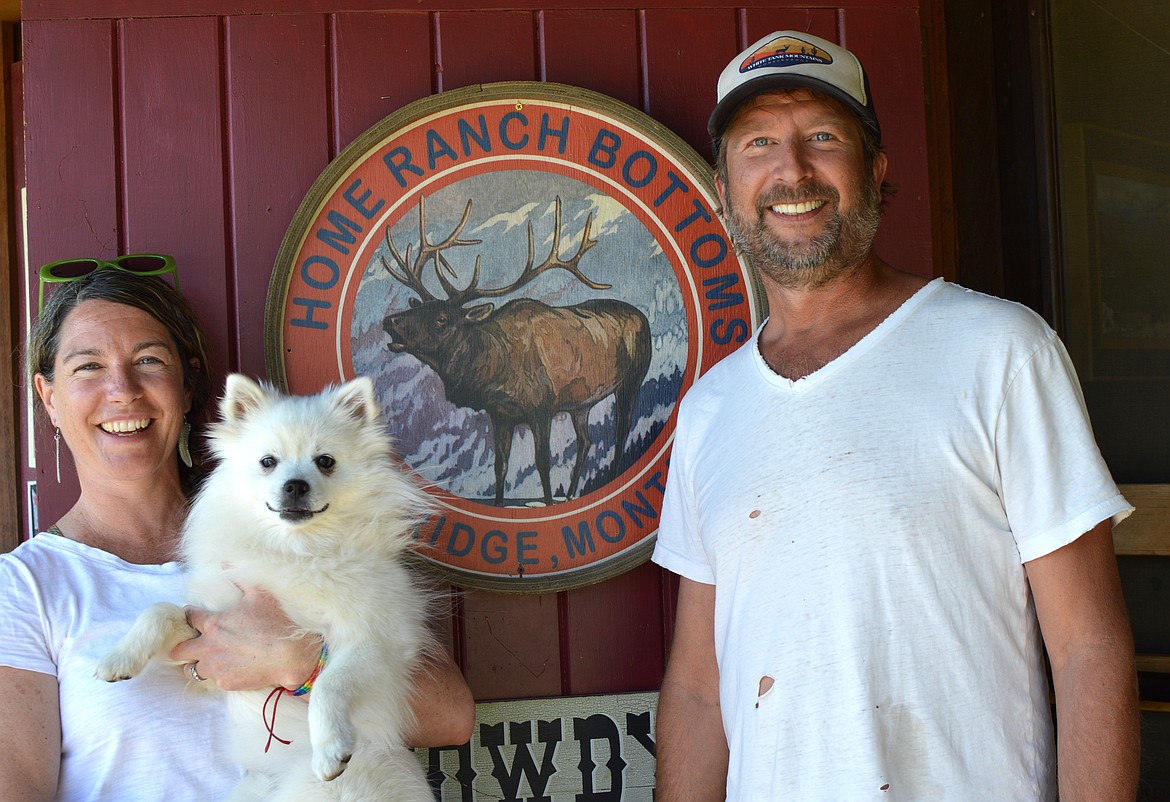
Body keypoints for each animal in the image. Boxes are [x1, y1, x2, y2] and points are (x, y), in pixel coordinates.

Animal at [94, 374, 435, 800]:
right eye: (268, 462)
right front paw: (118, 658)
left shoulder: (379, 643)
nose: (295, 485)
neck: (296, 550)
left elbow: (329, 685)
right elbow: (161, 611)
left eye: (325, 461)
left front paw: (330, 749)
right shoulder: (201, 646)